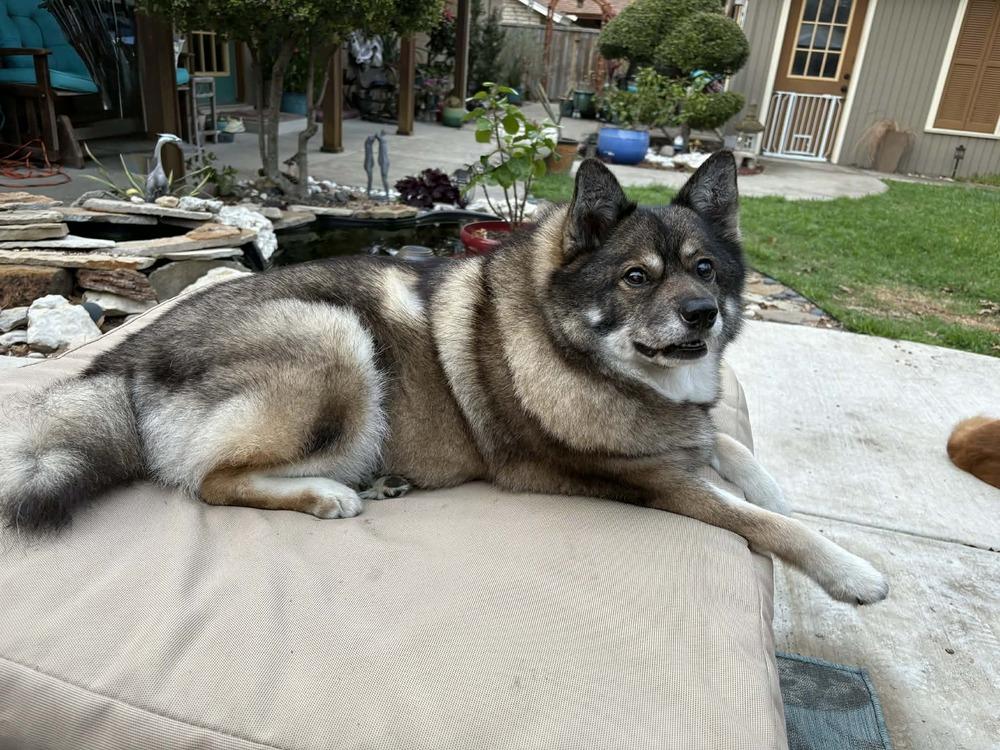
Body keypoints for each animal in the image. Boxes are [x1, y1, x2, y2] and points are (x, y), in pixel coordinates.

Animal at [0, 153, 888, 604]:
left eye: (705, 268)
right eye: (637, 277)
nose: (703, 315)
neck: (577, 350)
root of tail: (126, 355)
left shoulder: (687, 431)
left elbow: (728, 448)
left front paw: (771, 483)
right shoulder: (659, 482)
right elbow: (756, 518)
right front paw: (847, 569)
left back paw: (378, 481)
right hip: (336, 341)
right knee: (212, 481)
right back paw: (329, 493)